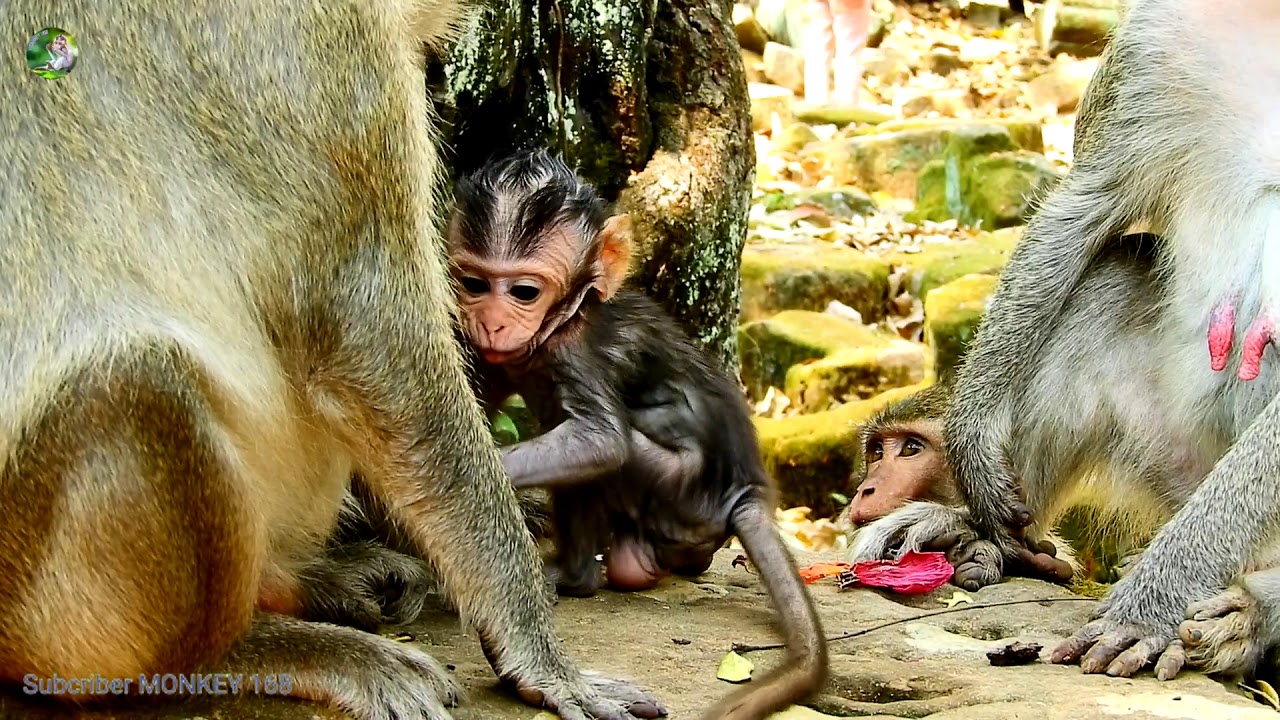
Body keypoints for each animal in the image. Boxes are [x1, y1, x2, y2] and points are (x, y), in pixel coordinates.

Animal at [0, 1, 667, 719]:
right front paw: (542, 656)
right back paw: (254, 649)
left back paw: (315, 579)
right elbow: (371, 348)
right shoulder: (327, 50)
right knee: (140, 385)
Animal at [447, 148, 828, 720]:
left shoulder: (576, 351)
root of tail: (746, 489)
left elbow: (602, 441)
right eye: (475, 285)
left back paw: (574, 577)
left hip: (679, 491)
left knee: (610, 459)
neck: (570, 314)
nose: (491, 322)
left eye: (524, 292)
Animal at [850, 0, 1280, 685]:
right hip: (1178, 455)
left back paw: (1251, 614)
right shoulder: (1151, 39)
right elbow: (1089, 199)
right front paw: (973, 440)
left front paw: (1147, 608)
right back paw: (989, 542)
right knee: (1112, 276)